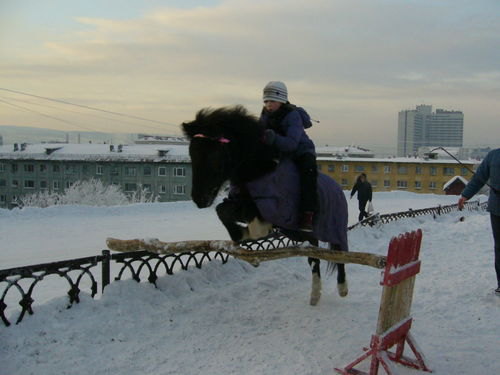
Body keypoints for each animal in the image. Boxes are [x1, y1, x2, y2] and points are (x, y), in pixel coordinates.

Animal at [182, 106, 350, 306]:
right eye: (192, 153)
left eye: (215, 156)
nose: (199, 199)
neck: (261, 169)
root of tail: (338, 190)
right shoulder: (241, 202)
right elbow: (222, 211)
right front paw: (241, 235)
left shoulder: (276, 208)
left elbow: (255, 222)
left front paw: (256, 234)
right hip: (311, 236)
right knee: (315, 260)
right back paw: (315, 295)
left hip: (335, 229)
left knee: (339, 255)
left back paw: (342, 289)